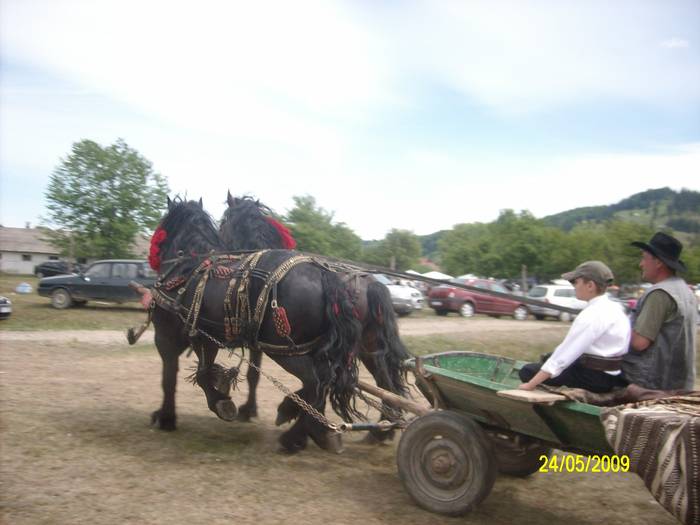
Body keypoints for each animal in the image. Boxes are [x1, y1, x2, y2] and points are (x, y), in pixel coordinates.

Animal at [150, 196, 364, 450]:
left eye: (224, 221)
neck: (185, 268)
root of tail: (325, 276)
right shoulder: (207, 336)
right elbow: (211, 372)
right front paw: (225, 399)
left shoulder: (166, 338)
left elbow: (171, 377)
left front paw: (168, 416)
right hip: (314, 349)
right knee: (325, 382)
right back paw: (314, 429)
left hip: (287, 351)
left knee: (316, 384)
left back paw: (293, 434)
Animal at [219, 192, 408, 438]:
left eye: (223, 222)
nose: (216, 247)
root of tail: (369, 285)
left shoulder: (264, 342)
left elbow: (255, 374)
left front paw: (255, 409)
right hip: (369, 347)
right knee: (385, 384)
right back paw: (381, 431)